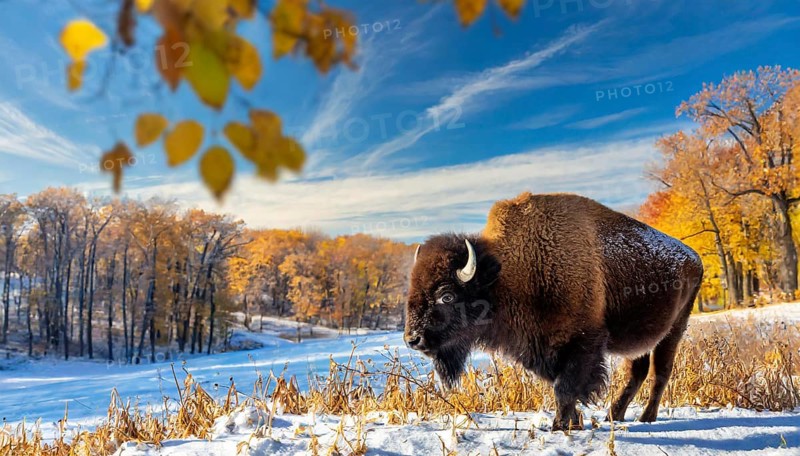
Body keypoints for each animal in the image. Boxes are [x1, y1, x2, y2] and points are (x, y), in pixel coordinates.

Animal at [404, 192, 703, 431]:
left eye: (446, 295)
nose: (412, 339)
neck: (507, 275)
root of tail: (694, 257)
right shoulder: (543, 348)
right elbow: (562, 386)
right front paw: (573, 422)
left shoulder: (584, 342)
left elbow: (565, 388)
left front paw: (560, 426)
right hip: (641, 338)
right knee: (637, 371)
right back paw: (613, 415)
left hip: (674, 329)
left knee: (660, 372)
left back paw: (646, 418)